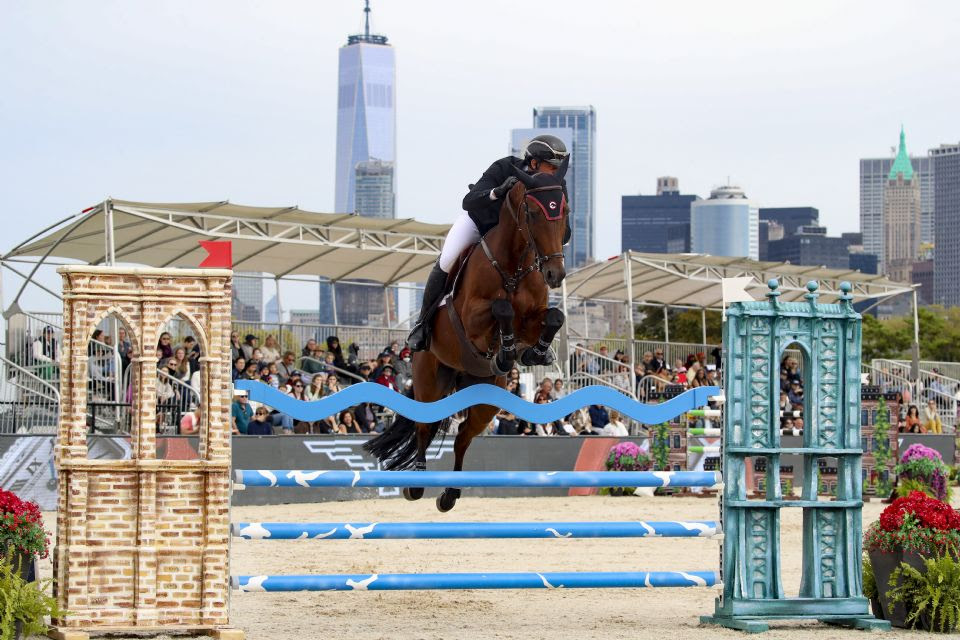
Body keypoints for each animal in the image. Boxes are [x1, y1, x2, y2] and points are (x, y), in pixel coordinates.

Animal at [364, 160, 568, 510]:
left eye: (564, 211)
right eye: (532, 212)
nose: (555, 274)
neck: (514, 264)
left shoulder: (533, 317)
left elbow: (554, 315)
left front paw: (533, 353)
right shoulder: (471, 317)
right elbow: (502, 308)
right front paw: (506, 352)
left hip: (485, 399)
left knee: (462, 438)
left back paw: (450, 493)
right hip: (430, 382)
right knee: (424, 428)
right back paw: (416, 484)